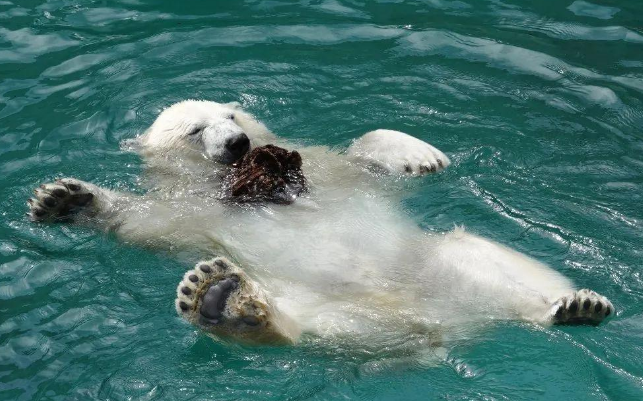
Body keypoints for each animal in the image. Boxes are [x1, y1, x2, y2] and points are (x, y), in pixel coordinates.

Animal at [27, 100, 614, 346]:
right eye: (196, 130)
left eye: (231, 116)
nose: (238, 143)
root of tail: (438, 323)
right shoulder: (187, 211)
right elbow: (141, 221)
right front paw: (63, 198)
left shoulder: (317, 170)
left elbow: (356, 159)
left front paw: (421, 155)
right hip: (325, 302)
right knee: (312, 325)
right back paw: (220, 301)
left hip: (440, 264)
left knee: (492, 263)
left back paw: (572, 305)